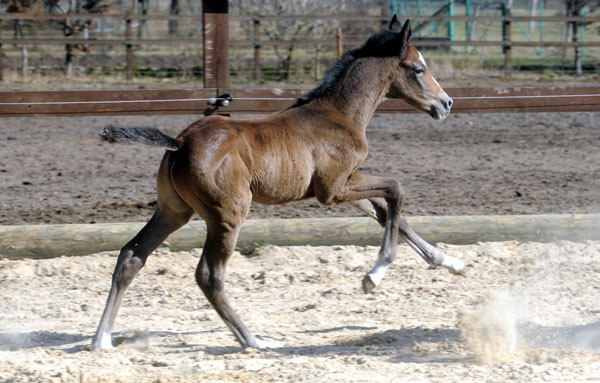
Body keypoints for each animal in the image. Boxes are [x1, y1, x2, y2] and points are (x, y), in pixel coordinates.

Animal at [92, 18, 464, 354]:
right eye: (418, 69)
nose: (446, 103)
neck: (338, 115)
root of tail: (179, 143)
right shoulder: (333, 190)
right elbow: (396, 190)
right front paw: (374, 275)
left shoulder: (343, 184)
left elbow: (389, 214)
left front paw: (450, 262)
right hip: (227, 214)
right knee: (209, 276)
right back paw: (254, 341)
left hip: (173, 211)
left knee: (131, 256)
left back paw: (102, 340)